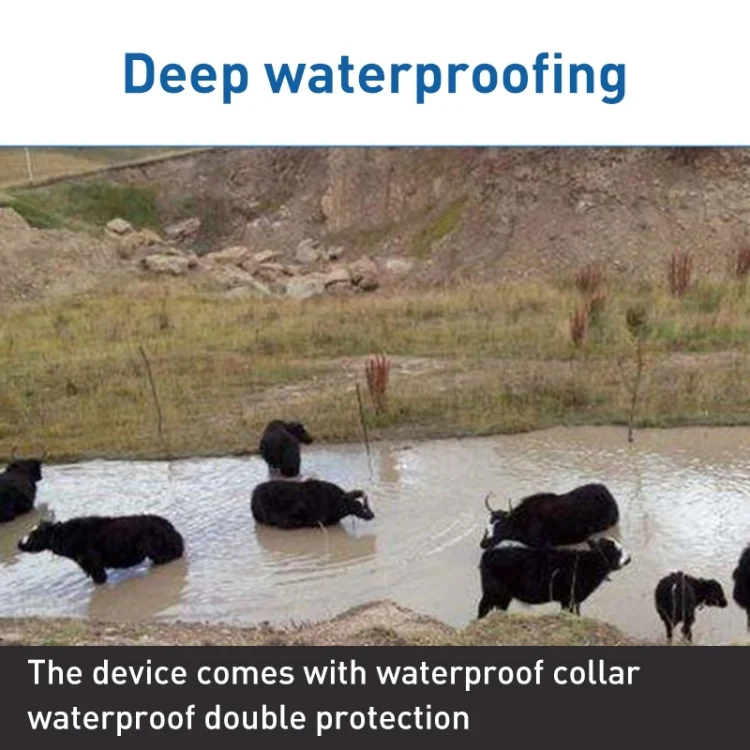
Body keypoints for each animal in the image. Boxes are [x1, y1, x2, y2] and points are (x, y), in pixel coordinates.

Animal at [17, 514, 184, 584]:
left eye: (34, 536)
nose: (20, 544)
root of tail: (170, 527)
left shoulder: (95, 565)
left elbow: (100, 579)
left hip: (161, 555)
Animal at [476, 536, 631, 619]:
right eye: (617, 551)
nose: (629, 558)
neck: (586, 563)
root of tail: (488, 553)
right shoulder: (570, 598)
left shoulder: (572, 600)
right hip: (492, 590)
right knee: (483, 607)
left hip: (504, 595)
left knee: (500, 608)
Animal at [480, 483, 620, 549]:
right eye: (486, 528)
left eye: (500, 527)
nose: (483, 544)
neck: (522, 521)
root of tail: (607, 493)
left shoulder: (545, 545)